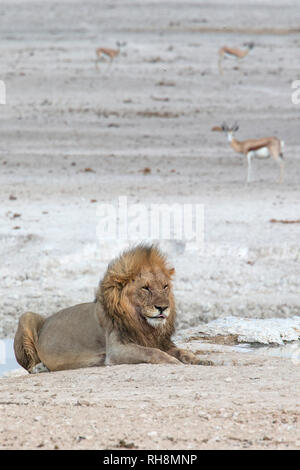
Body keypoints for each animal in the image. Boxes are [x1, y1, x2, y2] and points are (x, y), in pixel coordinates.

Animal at [13, 244, 206, 372]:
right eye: (145, 288)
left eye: (165, 286)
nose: (163, 308)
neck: (142, 324)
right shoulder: (116, 350)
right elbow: (151, 352)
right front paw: (173, 361)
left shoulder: (158, 340)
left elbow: (181, 350)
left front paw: (199, 360)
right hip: (26, 316)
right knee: (29, 367)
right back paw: (41, 367)